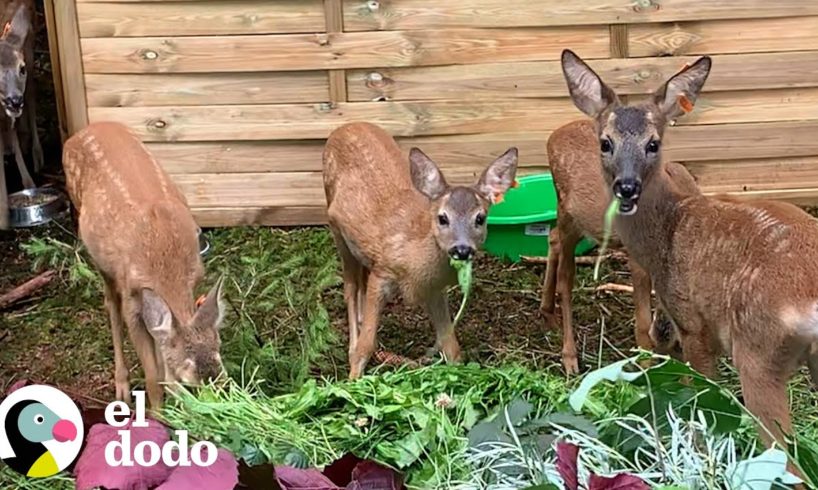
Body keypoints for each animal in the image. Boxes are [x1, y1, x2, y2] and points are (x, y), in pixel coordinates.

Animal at [62, 121, 225, 410]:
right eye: (191, 382)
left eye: (219, 358)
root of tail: (81, 131)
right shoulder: (132, 296)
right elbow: (152, 377)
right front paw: (159, 413)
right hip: (101, 259)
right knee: (110, 305)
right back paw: (122, 387)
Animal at [320, 121, 516, 378]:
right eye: (443, 218)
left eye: (480, 218)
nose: (462, 249)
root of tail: (344, 126)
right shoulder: (382, 273)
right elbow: (366, 345)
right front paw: (353, 378)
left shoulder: (435, 289)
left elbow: (451, 346)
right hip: (336, 227)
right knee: (350, 289)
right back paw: (352, 344)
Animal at [540, 119, 700, 376]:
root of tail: (554, 135)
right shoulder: (637, 260)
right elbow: (642, 323)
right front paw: (644, 369)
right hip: (566, 210)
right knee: (566, 278)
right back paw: (569, 357)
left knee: (553, 237)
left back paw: (547, 315)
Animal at [560, 47, 818, 462]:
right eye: (605, 142)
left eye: (653, 143)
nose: (627, 187)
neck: (670, 226)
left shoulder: (693, 322)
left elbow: (699, 396)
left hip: (757, 354)